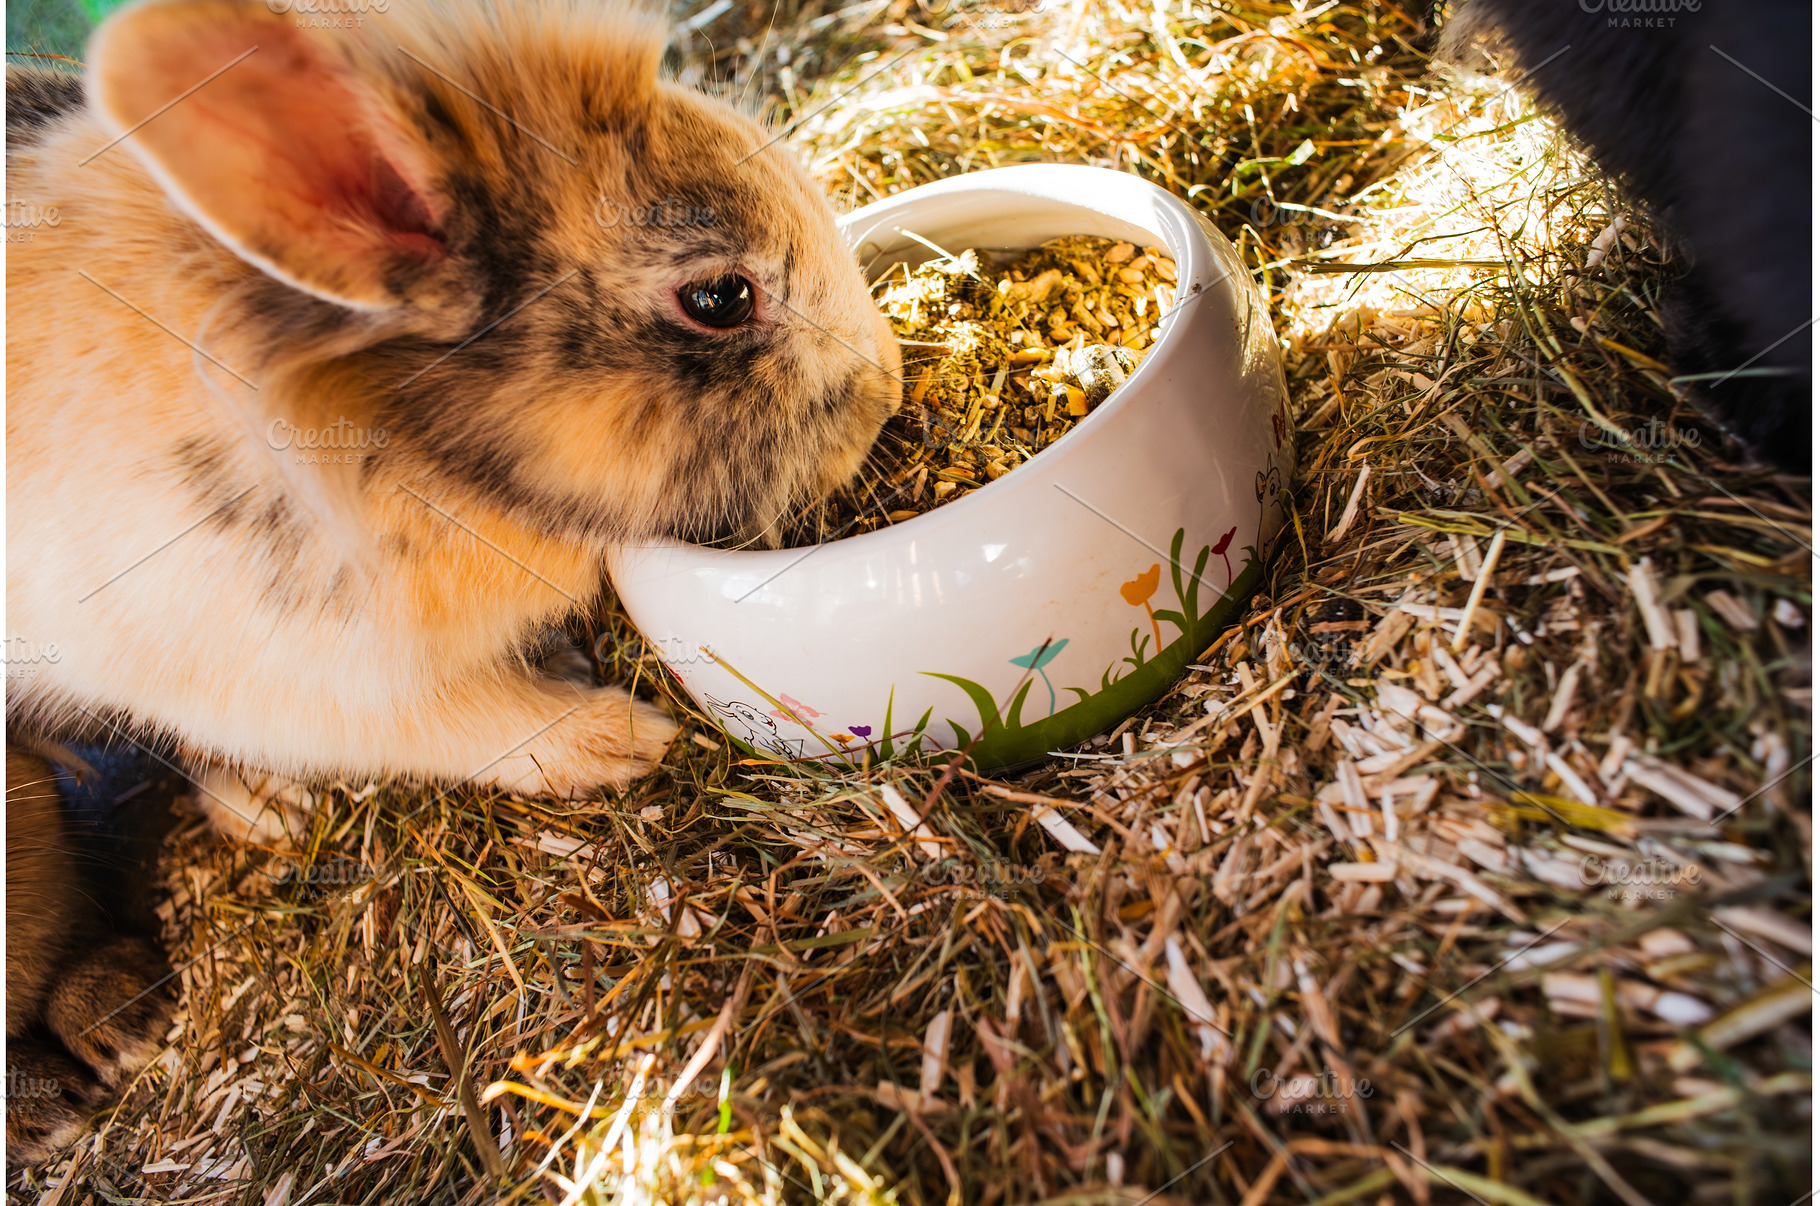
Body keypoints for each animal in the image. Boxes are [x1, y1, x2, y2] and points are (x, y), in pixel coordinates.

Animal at [6, 0, 901, 1155]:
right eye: (718, 295)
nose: (888, 390)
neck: (395, 437)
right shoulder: (297, 679)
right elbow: (472, 724)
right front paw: (620, 741)